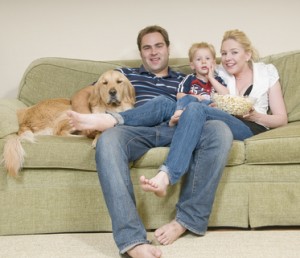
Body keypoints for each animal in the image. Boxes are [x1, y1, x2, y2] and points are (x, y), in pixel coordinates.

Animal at [1, 69, 135, 176]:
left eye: (119, 82)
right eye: (105, 83)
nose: (112, 92)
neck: (113, 109)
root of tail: (25, 119)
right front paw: (96, 138)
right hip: (70, 111)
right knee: (60, 132)